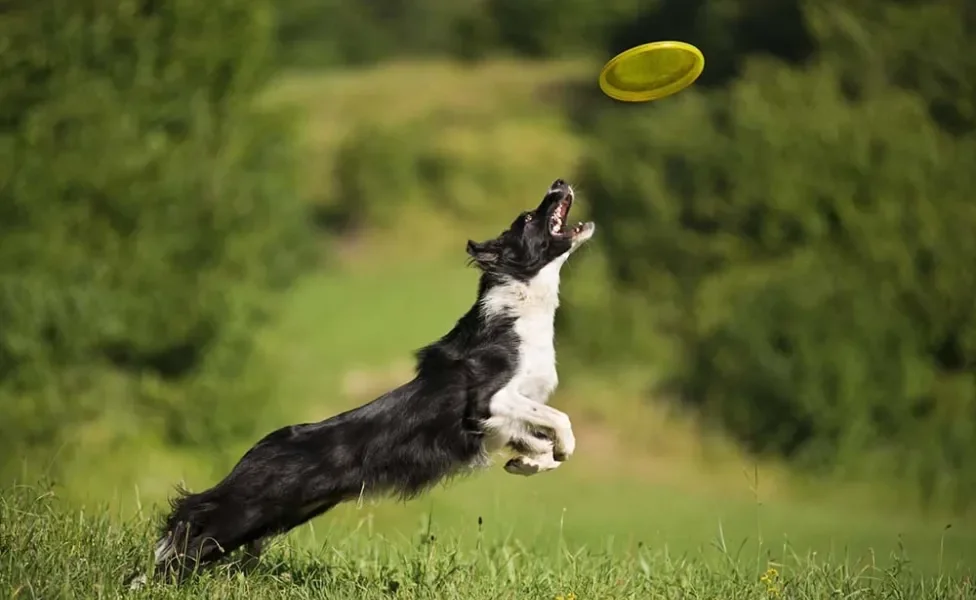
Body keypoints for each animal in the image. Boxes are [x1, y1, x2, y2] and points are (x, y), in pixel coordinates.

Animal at [141, 178, 592, 580]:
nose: (560, 181)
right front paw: (559, 450)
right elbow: (561, 420)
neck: (521, 305)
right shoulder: (488, 400)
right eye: (529, 217)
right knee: (191, 530)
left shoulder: (504, 420)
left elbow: (539, 439)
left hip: (279, 515)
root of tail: (259, 449)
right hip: (251, 509)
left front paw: (527, 463)